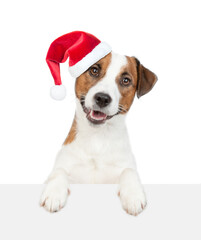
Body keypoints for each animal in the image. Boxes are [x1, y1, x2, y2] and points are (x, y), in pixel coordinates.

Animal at [40, 31, 158, 217]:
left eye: (126, 80)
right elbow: (58, 171)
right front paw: (54, 192)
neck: (97, 137)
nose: (102, 98)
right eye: (94, 70)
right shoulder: (66, 166)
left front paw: (133, 195)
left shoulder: (124, 166)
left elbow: (129, 171)